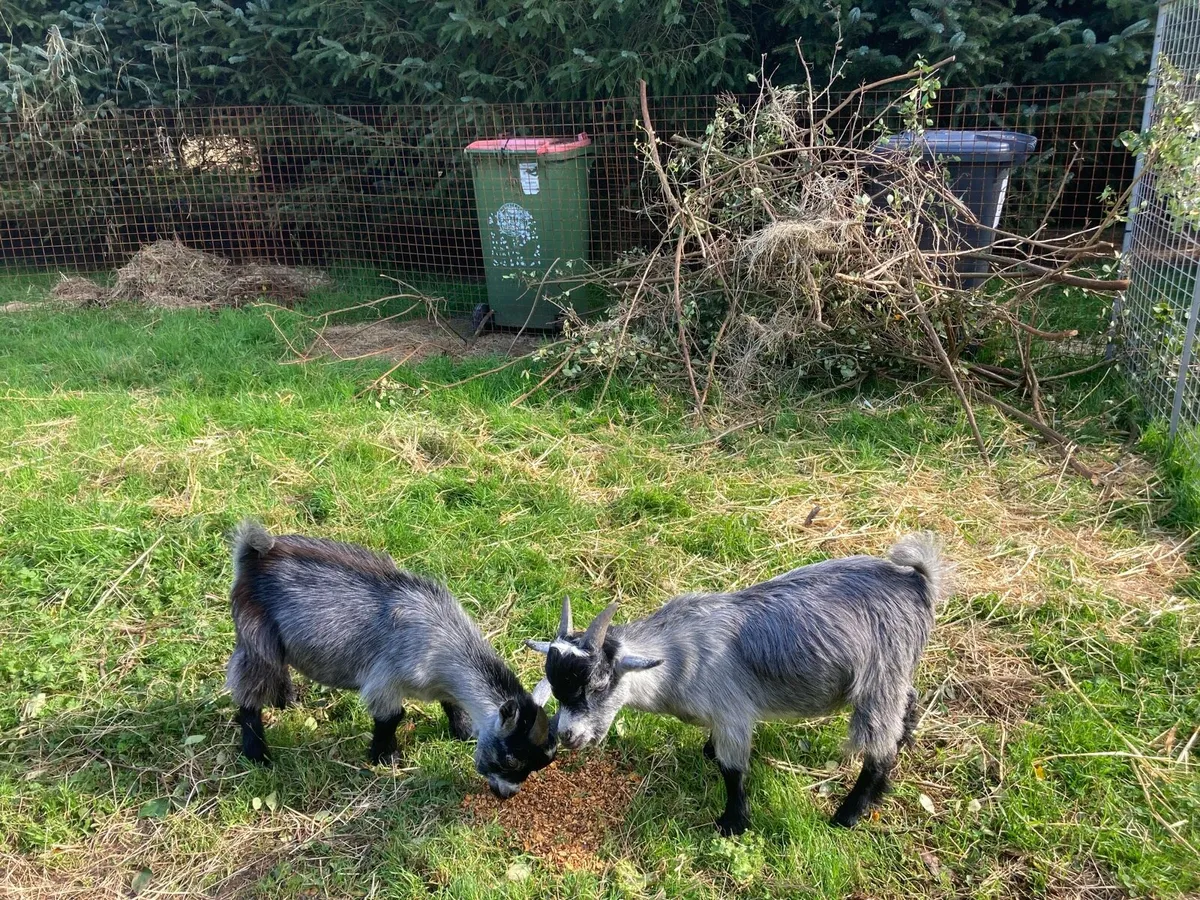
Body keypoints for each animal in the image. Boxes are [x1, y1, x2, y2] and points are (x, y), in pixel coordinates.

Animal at [225, 520, 556, 798]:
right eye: (511, 760)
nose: (507, 794)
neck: (441, 641)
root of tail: (256, 554)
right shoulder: (385, 679)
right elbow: (393, 716)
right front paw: (386, 758)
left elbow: (452, 703)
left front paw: (463, 732)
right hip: (256, 636)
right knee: (248, 693)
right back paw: (258, 754)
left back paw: (287, 701)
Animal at [527, 534, 945, 834]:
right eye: (558, 688)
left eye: (598, 684)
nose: (566, 735)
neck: (680, 657)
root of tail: (916, 581)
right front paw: (708, 753)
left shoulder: (733, 713)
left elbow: (733, 770)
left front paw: (733, 822)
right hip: (898, 672)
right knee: (907, 706)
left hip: (880, 676)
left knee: (878, 748)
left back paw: (850, 813)